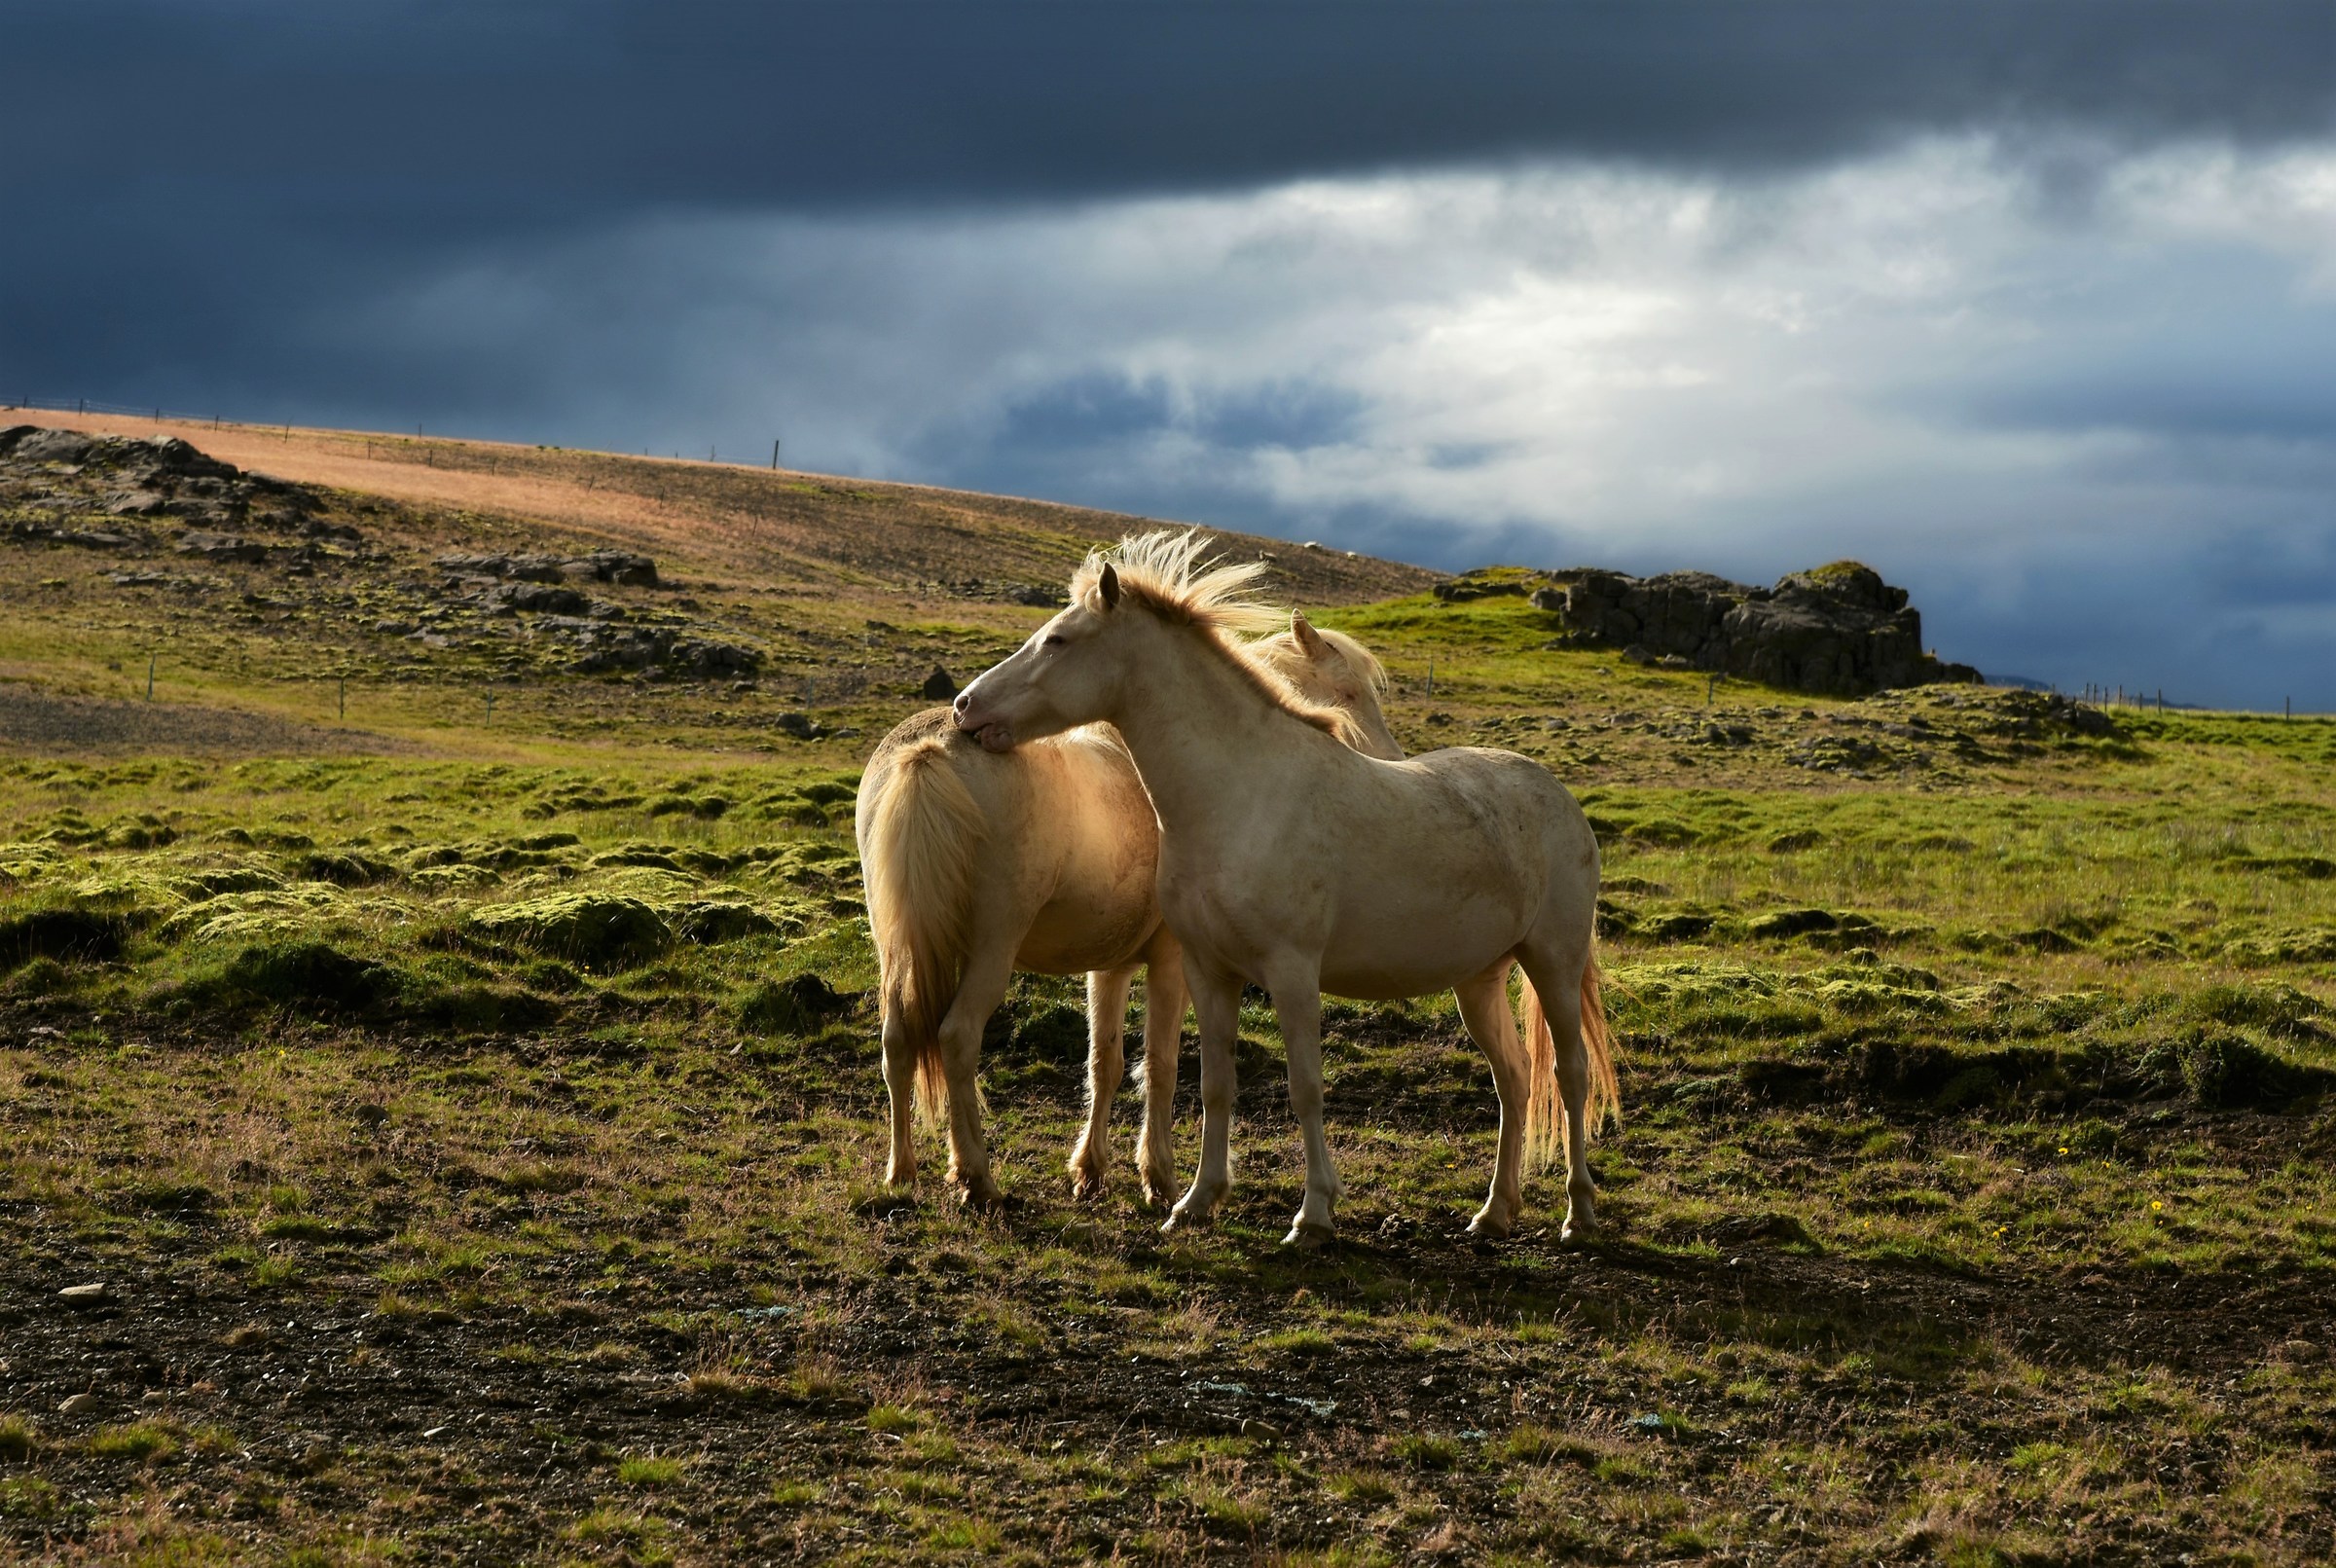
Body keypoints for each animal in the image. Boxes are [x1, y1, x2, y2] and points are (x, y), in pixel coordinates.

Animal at [855, 605, 1400, 1210]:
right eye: (1348, 693)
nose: (1392, 763)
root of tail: (927, 751)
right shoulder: (1172, 963)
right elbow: (1161, 1065)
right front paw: (1159, 1178)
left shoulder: (1108, 966)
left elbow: (1106, 1063)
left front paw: (1089, 1171)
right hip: (989, 951)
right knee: (956, 1039)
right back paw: (978, 1177)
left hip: (899, 950)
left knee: (897, 1041)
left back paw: (901, 1172)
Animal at [952, 531, 1618, 1246]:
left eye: (1058, 640)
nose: (965, 706)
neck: (1240, 794)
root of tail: (1557, 795)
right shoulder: (1208, 970)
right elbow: (1215, 1085)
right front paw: (1197, 1200)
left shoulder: (1292, 972)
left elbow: (1305, 1088)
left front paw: (1314, 1213)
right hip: (1480, 978)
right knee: (1514, 1080)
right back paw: (1494, 1211)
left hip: (1553, 963)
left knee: (1570, 1075)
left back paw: (1579, 1213)